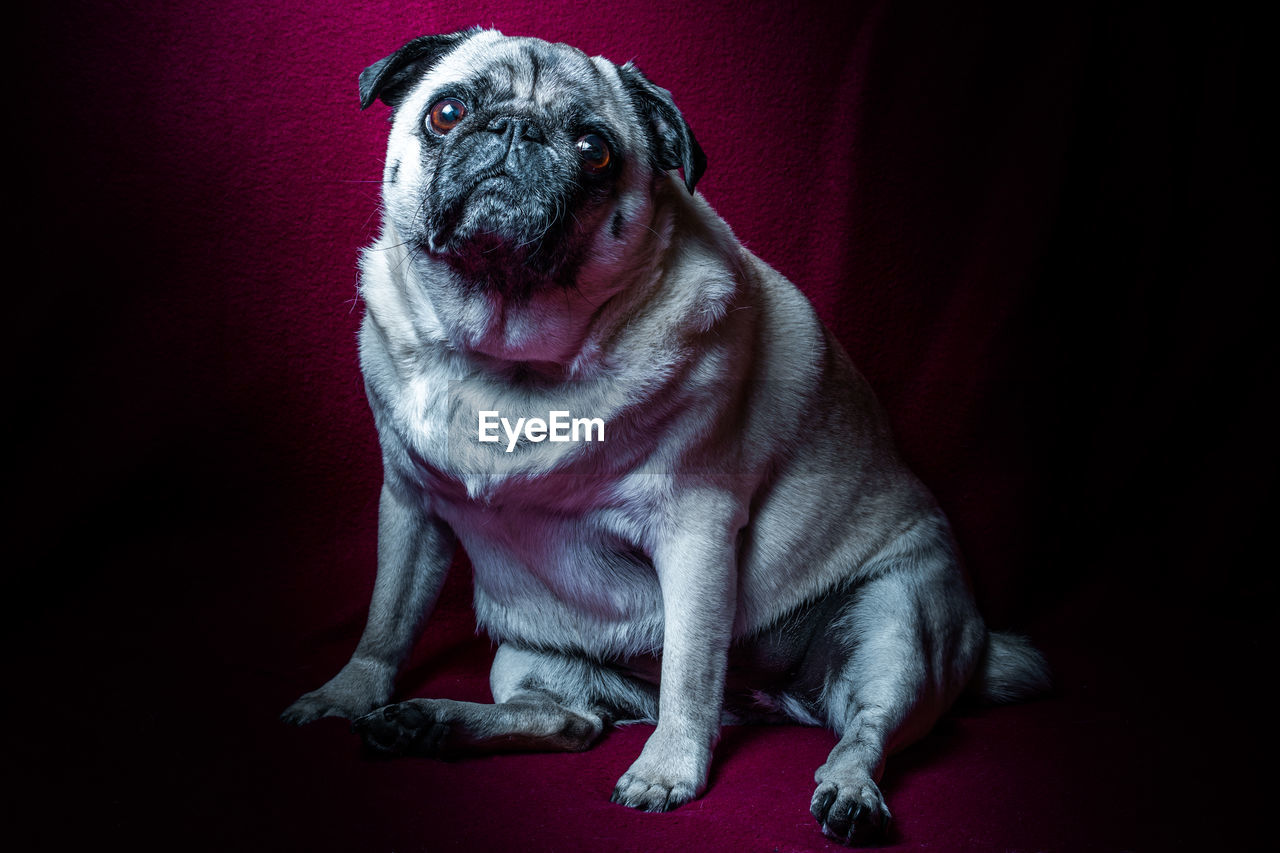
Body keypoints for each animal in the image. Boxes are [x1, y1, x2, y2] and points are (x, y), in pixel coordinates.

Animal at [282, 29, 1049, 840]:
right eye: (448, 111)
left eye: (594, 150)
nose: (517, 130)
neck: (505, 359)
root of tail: (768, 704)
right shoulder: (410, 504)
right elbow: (386, 619)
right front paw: (347, 695)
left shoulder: (696, 534)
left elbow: (689, 667)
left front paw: (670, 767)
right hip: (528, 652)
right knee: (570, 721)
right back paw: (428, 722)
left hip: (894, 621)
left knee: (863, 728)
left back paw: (849, 792)